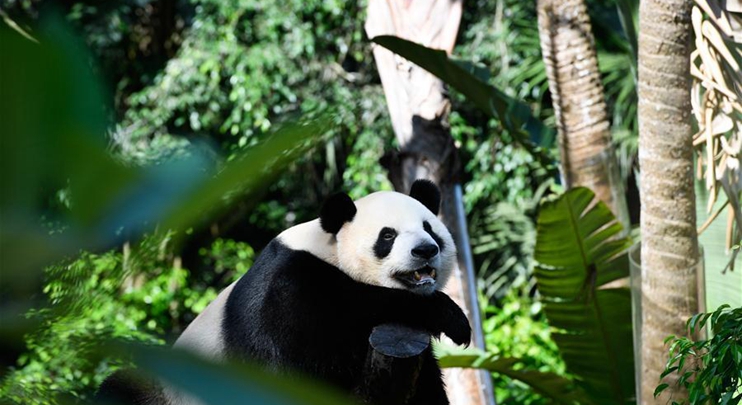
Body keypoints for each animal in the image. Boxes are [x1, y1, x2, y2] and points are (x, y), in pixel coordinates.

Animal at [97, 179, 471, 405]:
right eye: (388, 236)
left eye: (429, 229)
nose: (425, 250)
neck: (328, 250)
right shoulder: (289, 288)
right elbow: (319, 340)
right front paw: (451, 317)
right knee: (120, 387)